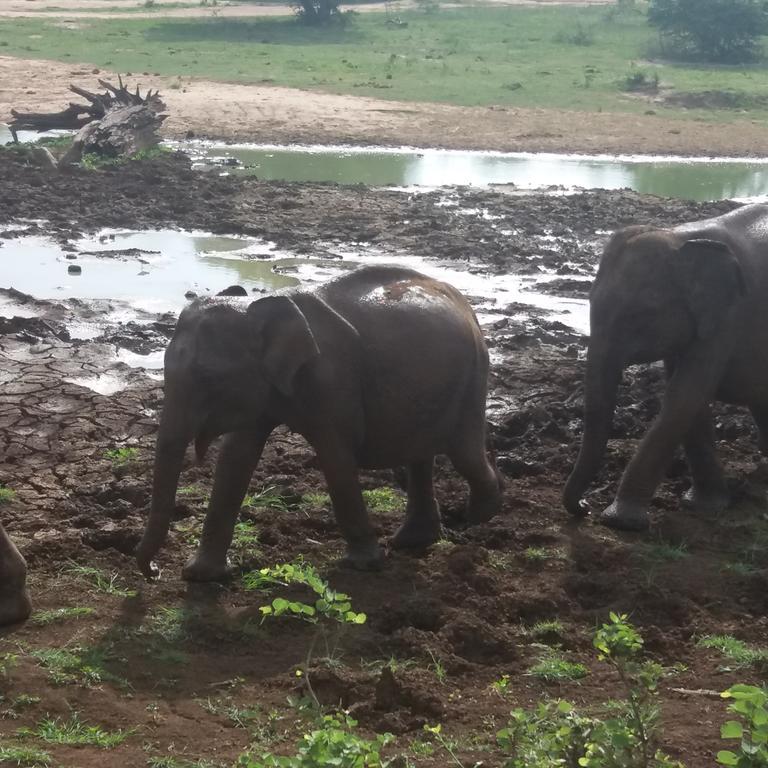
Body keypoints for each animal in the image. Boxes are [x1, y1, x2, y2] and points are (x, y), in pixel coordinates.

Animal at [135, 260, 500, 580]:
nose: (154, 572)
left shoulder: (332, 381)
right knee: (421, 456)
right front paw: (201, 577)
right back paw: (413, 541)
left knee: (463, 453)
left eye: (208, 377)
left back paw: (479, 518)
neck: (264, 306)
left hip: (473, 374)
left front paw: (363, 566)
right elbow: (235, 457)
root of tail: (462, 302)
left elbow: (335, 457)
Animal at [560, 201, 768, 532]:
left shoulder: (728, 316)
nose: (585, 507)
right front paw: (704, 506)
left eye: (641, 315)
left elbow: (683, 396)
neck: (679, 238)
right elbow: (688, 399)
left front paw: (622, 522)